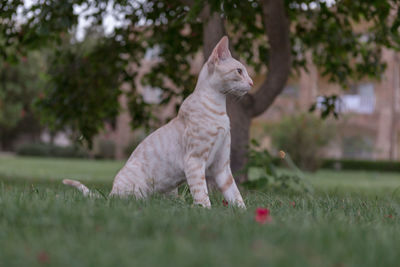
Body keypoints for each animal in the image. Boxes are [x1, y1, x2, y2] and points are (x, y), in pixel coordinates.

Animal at [64, 36, 255, 209]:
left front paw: (243, 214)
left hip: (171, 190)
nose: (252, 83)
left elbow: (235, 195)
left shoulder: (222, 167)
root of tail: (110, 193)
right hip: (138, 190)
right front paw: (206, 212)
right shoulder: (194, 161)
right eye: (239, 71)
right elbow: (202, 195)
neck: (220, 109)